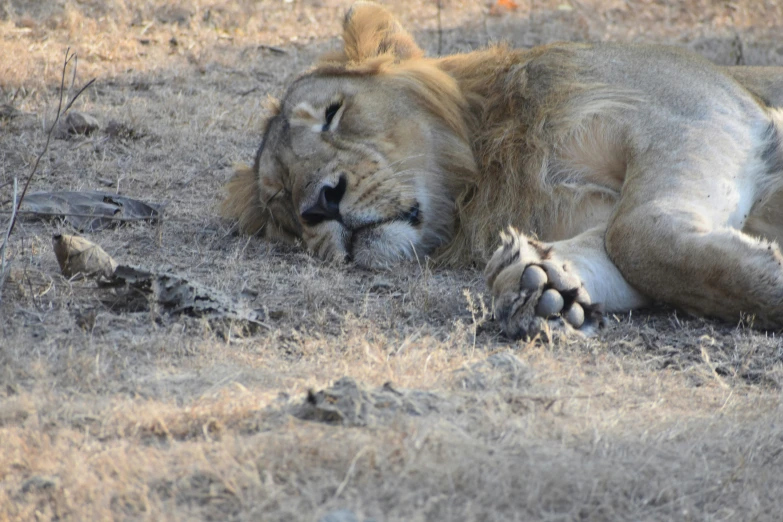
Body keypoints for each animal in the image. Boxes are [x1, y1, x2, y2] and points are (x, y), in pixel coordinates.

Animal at [220, 2, 783, 336]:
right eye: (280, 197)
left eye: (333, 113)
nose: (321, 202)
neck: (492, 167)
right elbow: (617, 248)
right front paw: (547, 284)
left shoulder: (696, 113)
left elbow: (637, 236)